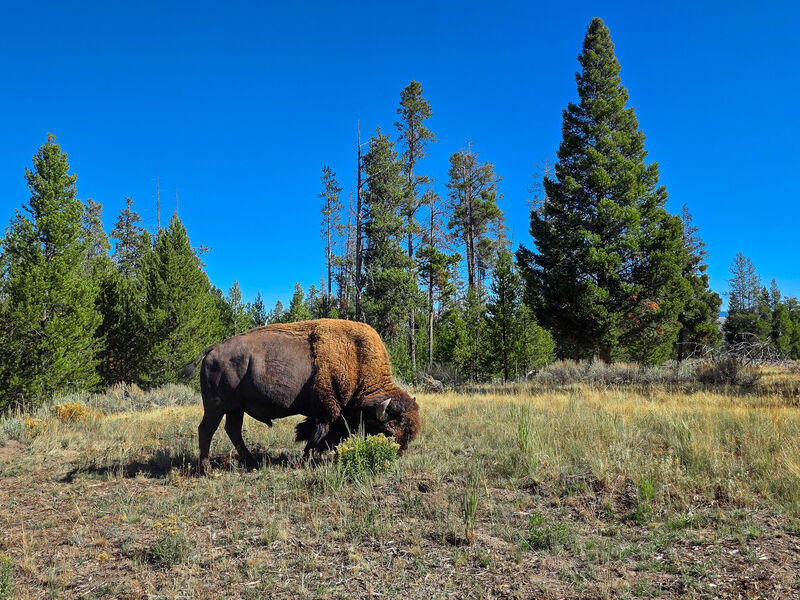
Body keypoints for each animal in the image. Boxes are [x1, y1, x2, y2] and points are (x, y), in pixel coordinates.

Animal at [194, 319, 420, 474]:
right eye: (388, 431)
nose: (397, 455)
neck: (355, 357)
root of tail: (212, 349)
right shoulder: (327, 410)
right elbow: (316, 435)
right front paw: (305, 460)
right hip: (216, 406)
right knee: (207, 430)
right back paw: (206, 470)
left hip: (236, 408)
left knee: (233, 430)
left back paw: (252, 462)